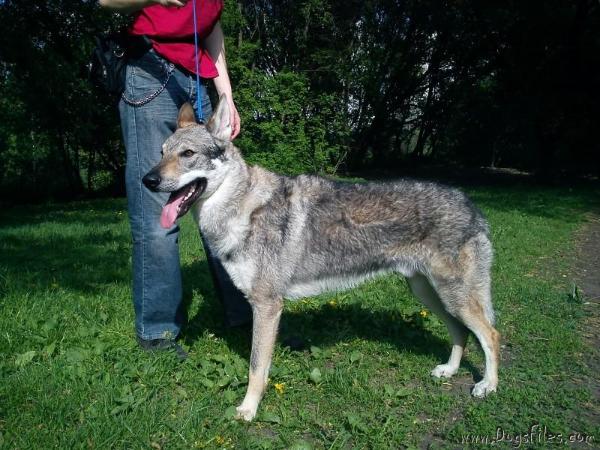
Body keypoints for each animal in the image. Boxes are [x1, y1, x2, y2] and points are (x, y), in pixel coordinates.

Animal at [143, 96, 500, 422]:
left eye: (188, 154)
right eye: (161, 153)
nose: (148, 180)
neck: (243, 208)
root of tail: (471, 205)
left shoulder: (267, 306)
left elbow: (256, 368)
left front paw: (248, 410)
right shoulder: (265, 309)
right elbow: (262, 364)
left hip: (453, 297)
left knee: (491, 335)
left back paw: (488, 386)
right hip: (431, 294)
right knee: (461, 332)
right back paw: (449, 371)